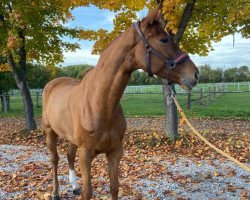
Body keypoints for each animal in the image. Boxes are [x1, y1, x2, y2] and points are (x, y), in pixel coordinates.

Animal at [43, 6, 199, 200]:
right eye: (163, 39)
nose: (195, 74)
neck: (99, 103)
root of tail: (53, 83)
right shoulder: (85, 154)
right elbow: (88, 192)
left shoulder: (115, 152)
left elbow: (114, 187)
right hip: (50, 133)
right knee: (55, 160)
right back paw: (55, 192)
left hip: (70, 137)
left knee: (69, 156)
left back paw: (74, 186)